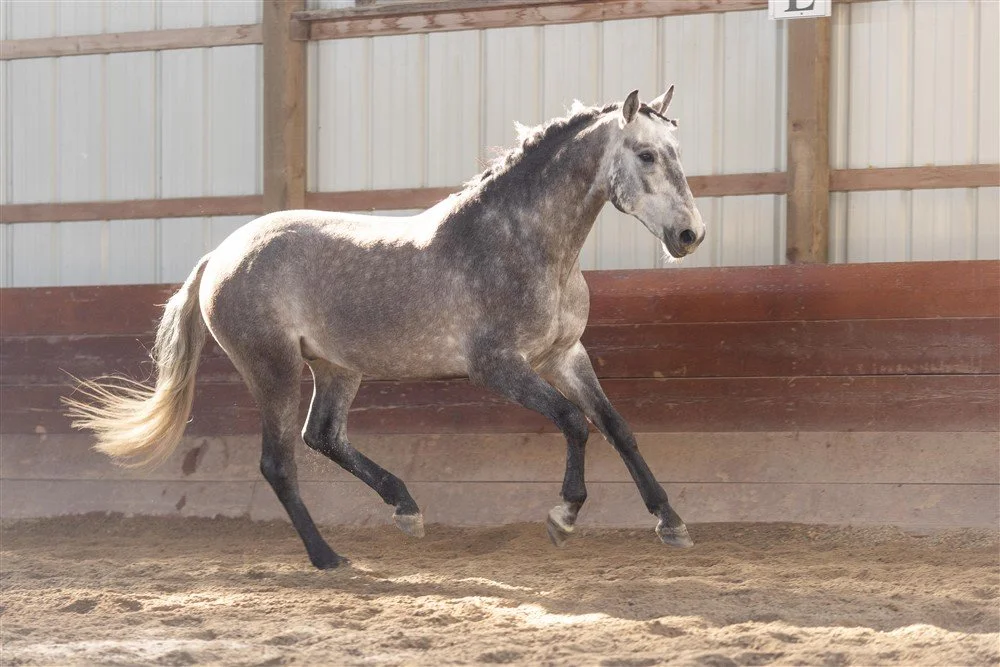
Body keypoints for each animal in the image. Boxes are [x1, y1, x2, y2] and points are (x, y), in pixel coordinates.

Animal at [66, 88, 706, 569]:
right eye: (646, 155)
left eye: (677, 149)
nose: (689, 236)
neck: (524, 244)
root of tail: (219, 256)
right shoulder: (498, 367)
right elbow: (575, 423)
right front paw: (563, 518)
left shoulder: (566, 355)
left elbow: (617, 427)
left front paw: (671, 522)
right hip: (273, 369)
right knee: (279, 462)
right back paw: (329, 558)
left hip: (336, 369)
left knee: (323, 437)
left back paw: (406, 509)